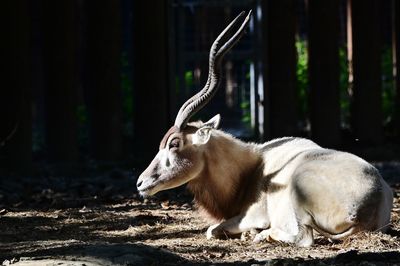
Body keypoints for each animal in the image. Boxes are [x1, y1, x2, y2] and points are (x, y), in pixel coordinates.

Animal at [136, 10, 392, 247]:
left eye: (175, 143)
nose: (140, 183)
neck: (253, 166)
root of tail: (367, 205)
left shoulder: (253, 215)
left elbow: (211, 230)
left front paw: (250, 232)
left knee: (304, 238)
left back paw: (261, 235)